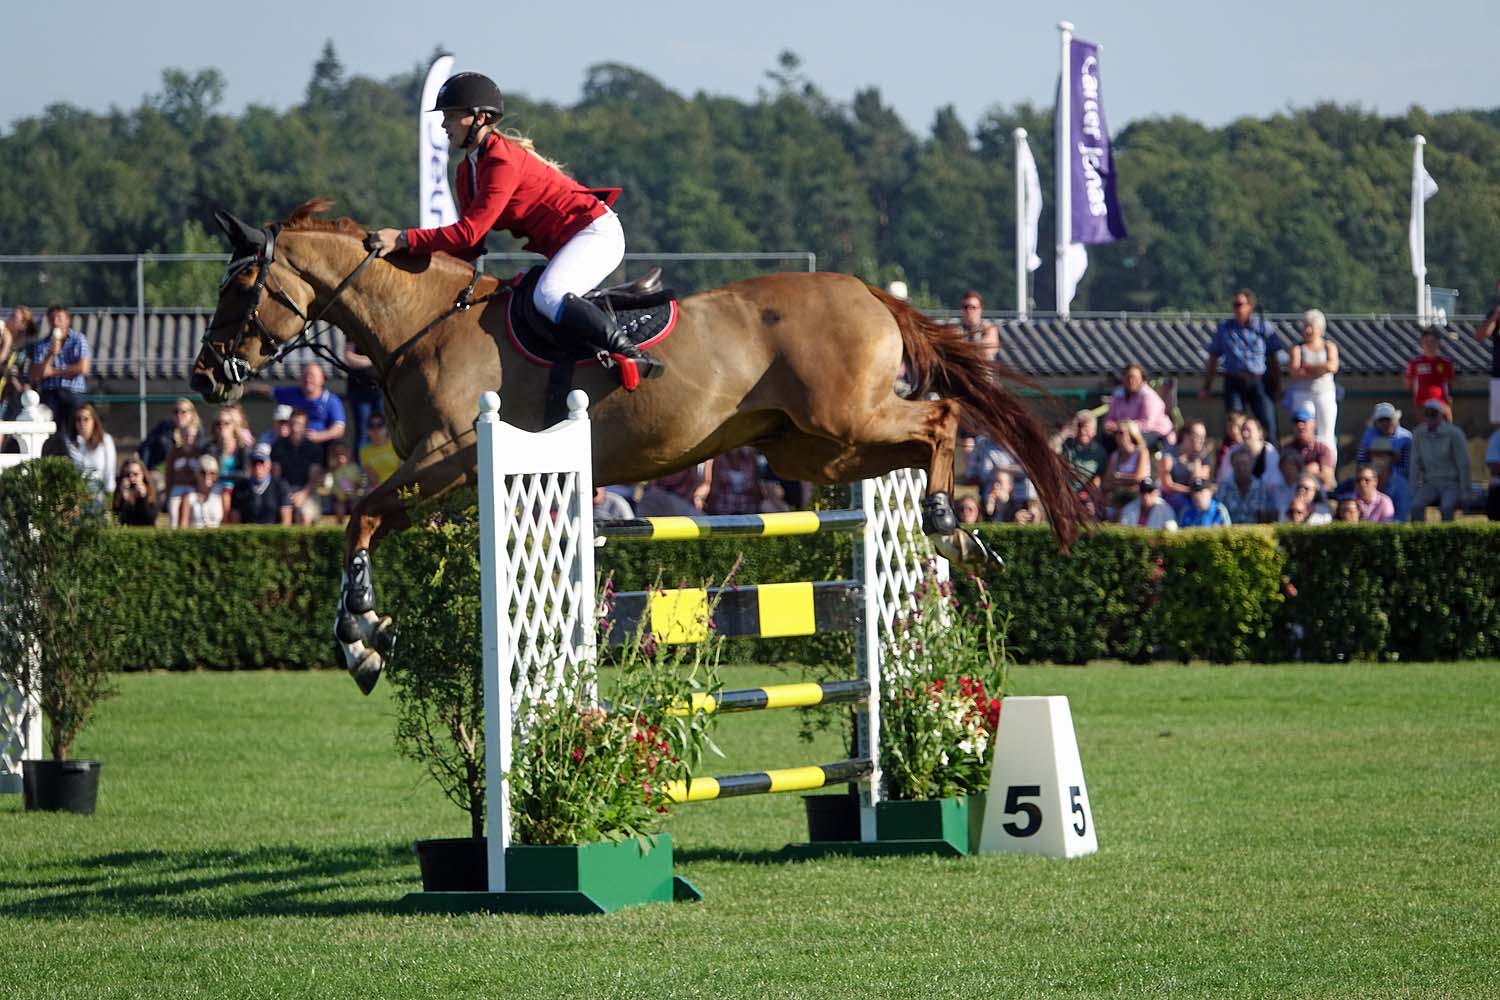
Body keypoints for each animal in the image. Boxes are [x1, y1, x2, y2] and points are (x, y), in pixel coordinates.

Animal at [193, 197, 1080, 692]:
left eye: (239, 287)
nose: (205, 378)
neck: (421, 321)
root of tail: (865, 287)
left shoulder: (447, 452)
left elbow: (359, 516)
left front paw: (358, 637)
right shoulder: (441, 474)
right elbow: (374, 522)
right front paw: (369, 636)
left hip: (845, 419)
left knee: (941, 419)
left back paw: (947, 524)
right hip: (810, 450)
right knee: (912, 443)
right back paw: (961, 535)